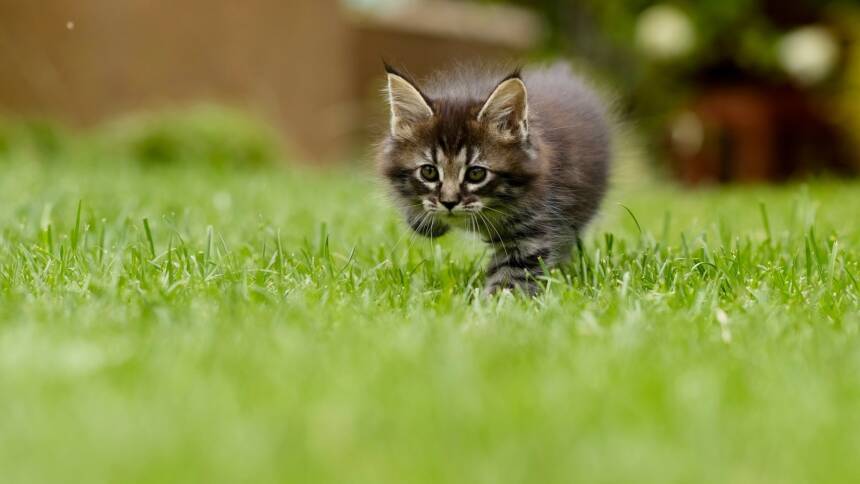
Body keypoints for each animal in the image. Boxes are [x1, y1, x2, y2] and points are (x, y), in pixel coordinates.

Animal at [378, 62, 612, 294]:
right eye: (429, 172)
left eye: (476, 174)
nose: (449, 202)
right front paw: (425, 221)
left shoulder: (532, 226)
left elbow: (512, 275)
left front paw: (495, 301)